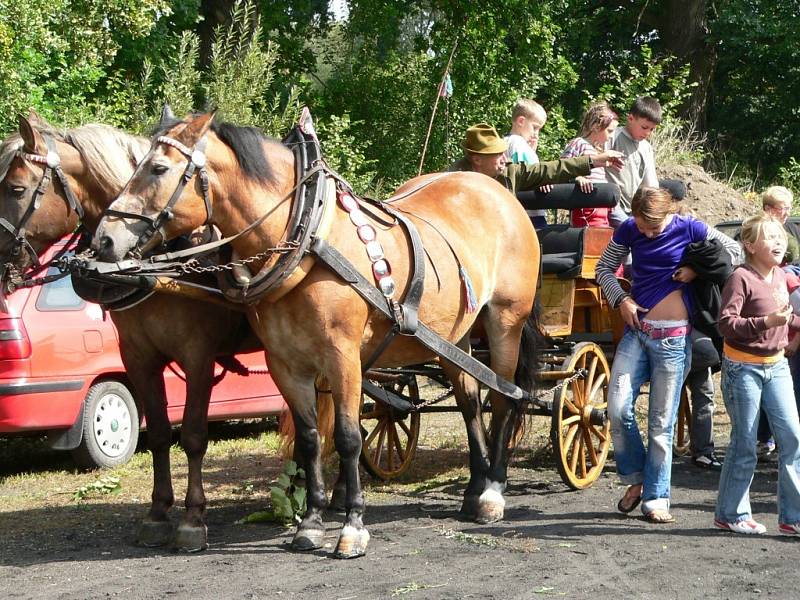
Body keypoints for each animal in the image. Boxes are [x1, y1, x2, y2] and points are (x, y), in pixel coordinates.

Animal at [0, 115, 270, 552]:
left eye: (16, 189)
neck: (154, 265)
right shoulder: (138, 358)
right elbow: (159, 433)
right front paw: (158, 514)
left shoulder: (197, 356)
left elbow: (193, 435)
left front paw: (193, 519)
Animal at [94, 109, 544, 556]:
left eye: (158, 168)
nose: (104, 240)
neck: (306, 237)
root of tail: (497, 192)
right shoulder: (284, 363)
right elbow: (310, 438)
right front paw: (309, 524)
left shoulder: (339, 356)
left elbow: (347, 437)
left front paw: (352, 526)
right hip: (453, 336)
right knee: (470, 402)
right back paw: (474, 488)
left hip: (505, 322)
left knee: (503, 400)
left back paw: (492, 493)